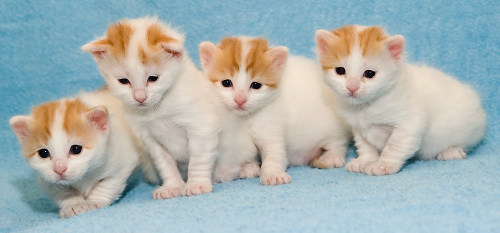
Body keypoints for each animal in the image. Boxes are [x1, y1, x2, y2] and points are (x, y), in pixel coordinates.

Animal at [9, 89, 148, 218]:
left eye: (76, 149)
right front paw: (74, 205)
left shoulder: (123, 159)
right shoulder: (45, 179)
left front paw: (94, 202)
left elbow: (107, 183)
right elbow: (63, 192)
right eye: (43, 153)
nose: (59, 169)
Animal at [82, 16, 219, 198]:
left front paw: (197, 183)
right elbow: (165, 165)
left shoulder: (201, 127)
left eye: (153, 78)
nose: (140, 97)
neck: (157, 109)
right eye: (123, 81)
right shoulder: (150, 139)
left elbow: (198, 159)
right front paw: (172, 186)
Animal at [200, 37, 352, 185]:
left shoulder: (270, 124)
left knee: (337, 141)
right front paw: (248, 168)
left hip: (333, 125)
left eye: (256, 85)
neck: (245, 118)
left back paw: (331, 157)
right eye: (226, 83)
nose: (240, 100)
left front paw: (273, 174)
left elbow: (273, 152)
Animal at [314, 25, 486, 175]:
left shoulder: (409, 124)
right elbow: (366, 146)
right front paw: (365, 161)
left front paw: (384, 165)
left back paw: (451, 151)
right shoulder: (358, 128)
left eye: (369, 73)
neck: (366, 106)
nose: (352, 87)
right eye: (340, 71)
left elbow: (394, 146)